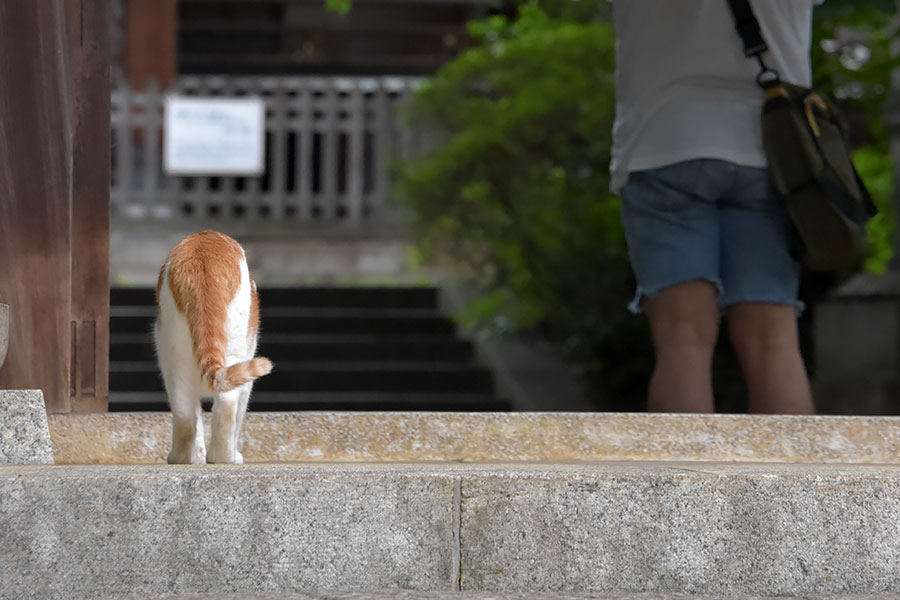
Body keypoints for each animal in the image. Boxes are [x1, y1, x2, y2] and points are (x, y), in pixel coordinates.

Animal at [154, 230, 270, 464]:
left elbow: (196, 421)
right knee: (228, 403)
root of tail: (204, 249)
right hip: (235, 348)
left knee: (184, 414)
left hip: (174, 356)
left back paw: (181, 458)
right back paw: (224, 457)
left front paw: (197, 455)